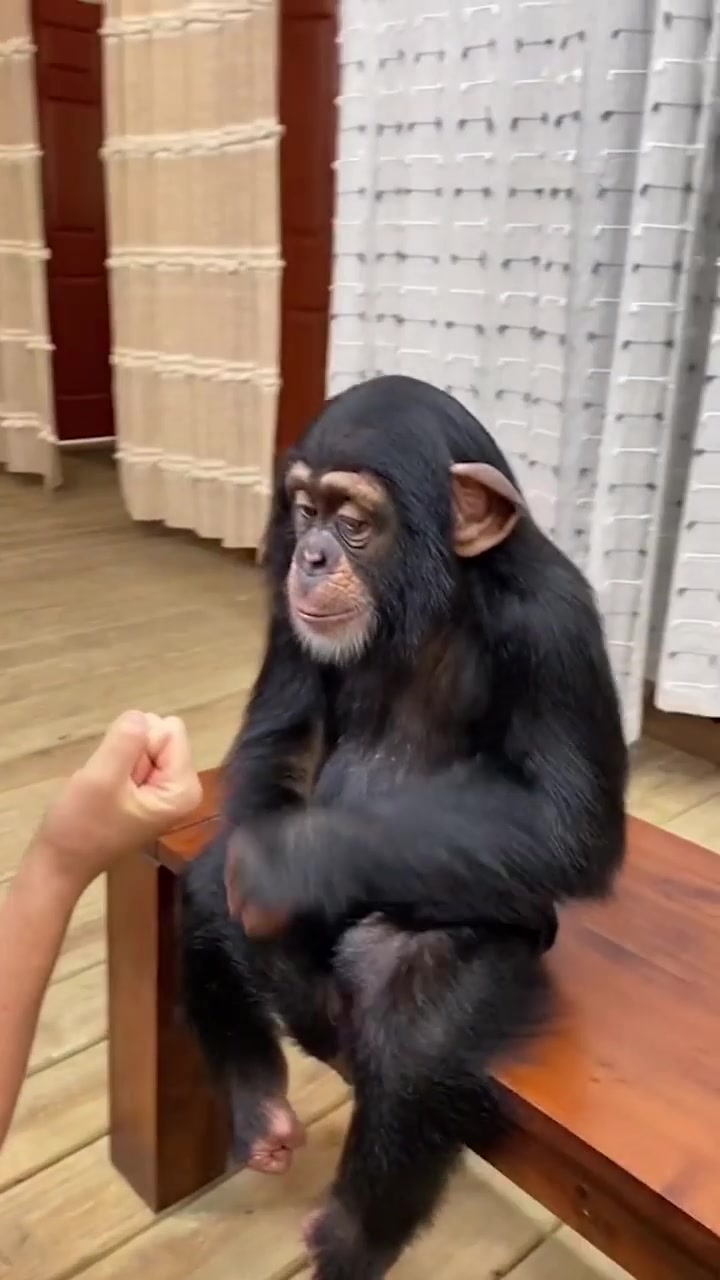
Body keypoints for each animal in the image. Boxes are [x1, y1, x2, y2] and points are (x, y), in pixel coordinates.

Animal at [181, 374, 628, 1280]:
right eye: (305, 511)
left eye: (354, 519)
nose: (313, 555)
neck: (428, 607)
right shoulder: (287, 619)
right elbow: (283, 737)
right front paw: (280, 956)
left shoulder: (556, 624)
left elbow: (569, 823)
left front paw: (286, 868)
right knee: (209, 893)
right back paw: (258, 1108)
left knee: (417, 1016)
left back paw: (353, 1233)